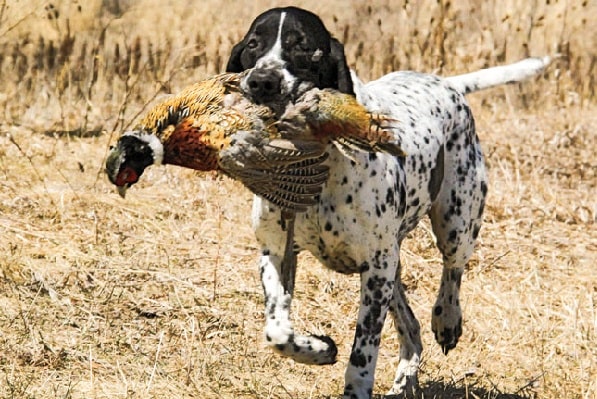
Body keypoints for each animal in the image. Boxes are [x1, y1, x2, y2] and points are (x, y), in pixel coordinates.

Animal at [225, 6, 548, 399]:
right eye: (253, 45)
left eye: (302, 46)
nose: (262, 81)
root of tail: (447, 83)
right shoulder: (276, 252)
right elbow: (277, 331)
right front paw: (318, 348)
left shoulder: (376, 270)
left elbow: (363, 352)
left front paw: (355, 386)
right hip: (392, 266)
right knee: (411, 328)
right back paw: (405, 377)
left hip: (454, 225)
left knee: (452, 272)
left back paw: (447, 319)